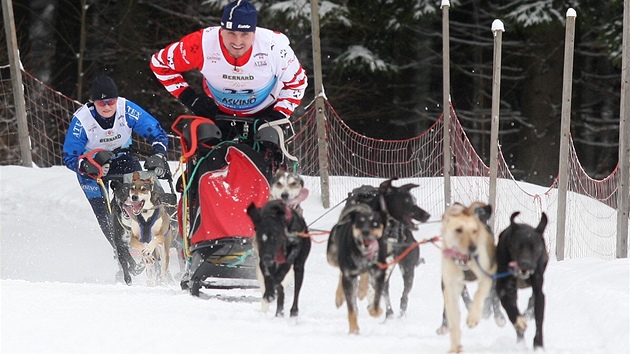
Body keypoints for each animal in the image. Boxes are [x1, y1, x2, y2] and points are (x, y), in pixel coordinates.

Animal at [328, 203, 388, 334]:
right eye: (360, 222)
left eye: (375, 223)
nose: (365, 232)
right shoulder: (349, 276)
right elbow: (352, 309)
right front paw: (354, 331)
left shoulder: (379, 273)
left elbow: (376, 300)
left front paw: (375, 311)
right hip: (333, 259)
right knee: (341, 274)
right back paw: (340, 297)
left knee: (364, 274)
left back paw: (361, 290)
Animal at [442, 202, 496, 354]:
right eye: (458, 230)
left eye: (474, 231)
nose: (473, 247)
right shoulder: (451, 287)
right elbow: (453, 320)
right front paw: (455, 347)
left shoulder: (487, 275)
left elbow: (479, 294)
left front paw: (473, 317)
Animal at [498, 212, 548, 348]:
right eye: (517, 246)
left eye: (535, 247)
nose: (525, 264)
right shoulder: (503, 289)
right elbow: (512, 311)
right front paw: (519, 321)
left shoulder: (538, 290)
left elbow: (539, 318)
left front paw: (538, 344)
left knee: (532, 300)